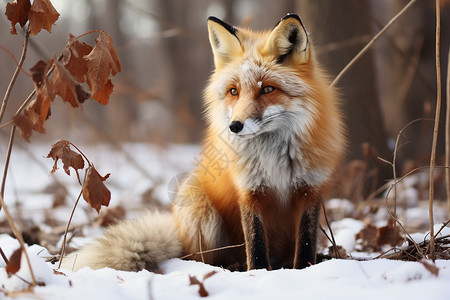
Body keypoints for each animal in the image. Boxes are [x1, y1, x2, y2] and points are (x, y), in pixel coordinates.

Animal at [60, 13, 344, 272]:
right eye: (234, 91)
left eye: (267, 89)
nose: (235, 126)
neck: (274, 159)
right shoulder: (249, 191)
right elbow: (255, 244)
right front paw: (259, 274)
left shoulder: (309, 189)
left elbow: (305, 243)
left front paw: (304, 270)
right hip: (196, 200)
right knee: (202, 258)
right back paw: (231, 266)